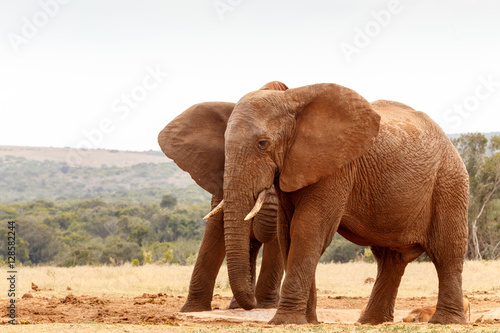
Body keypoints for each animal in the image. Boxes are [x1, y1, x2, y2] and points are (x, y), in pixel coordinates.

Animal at [158, 87, 288, 310]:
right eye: (228, 149)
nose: (254, 303)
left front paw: (266, 307)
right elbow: (216, 229)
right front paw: (192, 310)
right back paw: (239, 304)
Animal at [203, 81, 468, 324]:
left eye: (262, 144)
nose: (250, 303)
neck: (292, 99)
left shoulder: (336, 167)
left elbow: (307, 229)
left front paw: (285, 321)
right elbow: (288, 234)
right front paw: (308, 322)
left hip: (449, 183)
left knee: (446, 252)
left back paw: (445, 322)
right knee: (391, 259)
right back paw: (370, 322)